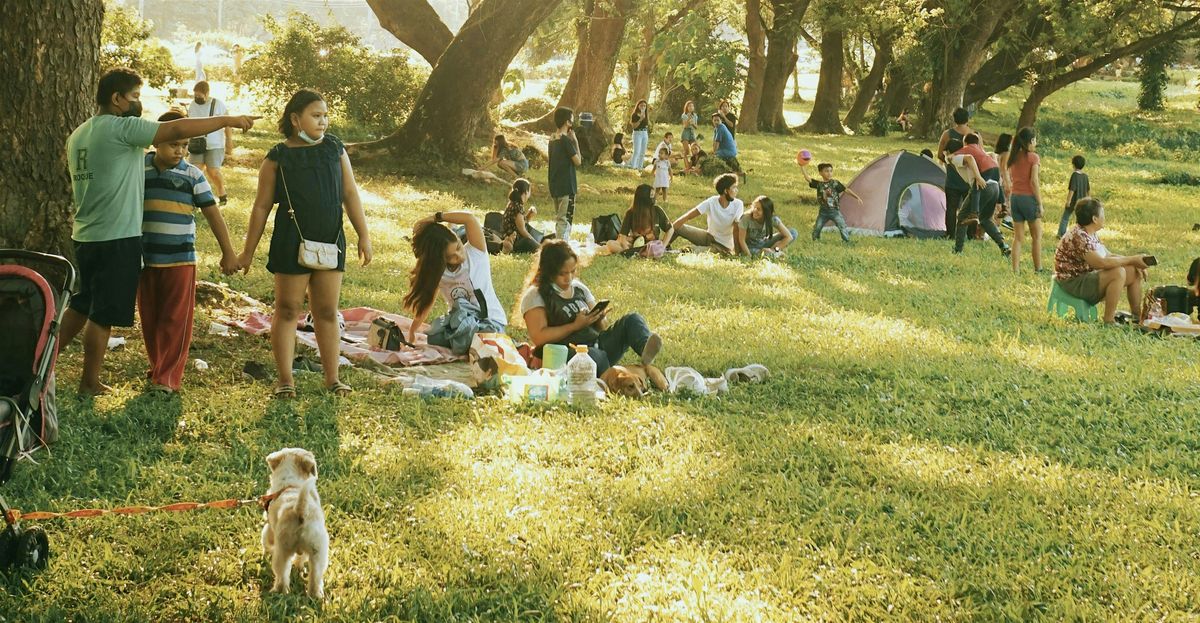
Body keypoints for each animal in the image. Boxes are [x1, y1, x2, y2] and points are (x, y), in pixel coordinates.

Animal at [262, 448, 329, 599]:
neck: (291, 485)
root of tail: (300, 510)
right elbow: (301, 557)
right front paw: (299, 567)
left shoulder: (270, 528)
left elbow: (266, 539)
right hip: (318, 552)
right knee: (315, 577)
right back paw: (315, 596)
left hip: (282, 551)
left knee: (282, 575)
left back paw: (278, 592)